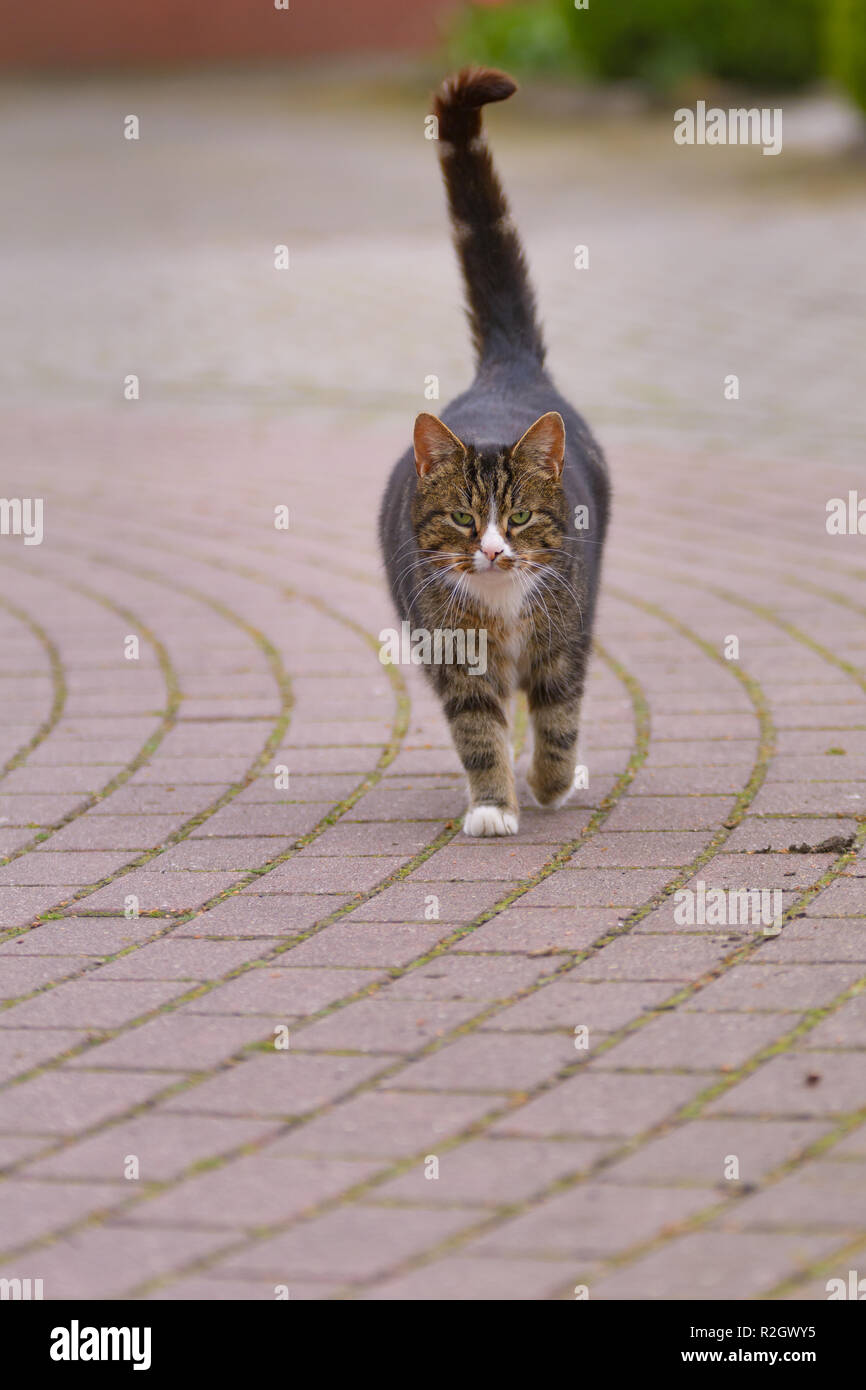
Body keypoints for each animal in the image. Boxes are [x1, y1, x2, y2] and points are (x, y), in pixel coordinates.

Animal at [378, 67, 608, 834]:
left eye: (520, 518)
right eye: (460, 519)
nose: (493, 549)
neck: (502, 604)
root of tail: (504, 371)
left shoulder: (564, 639)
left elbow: (559, 719)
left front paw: (550, 782)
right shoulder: (451, 651)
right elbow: (478, 729)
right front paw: (491, 805)